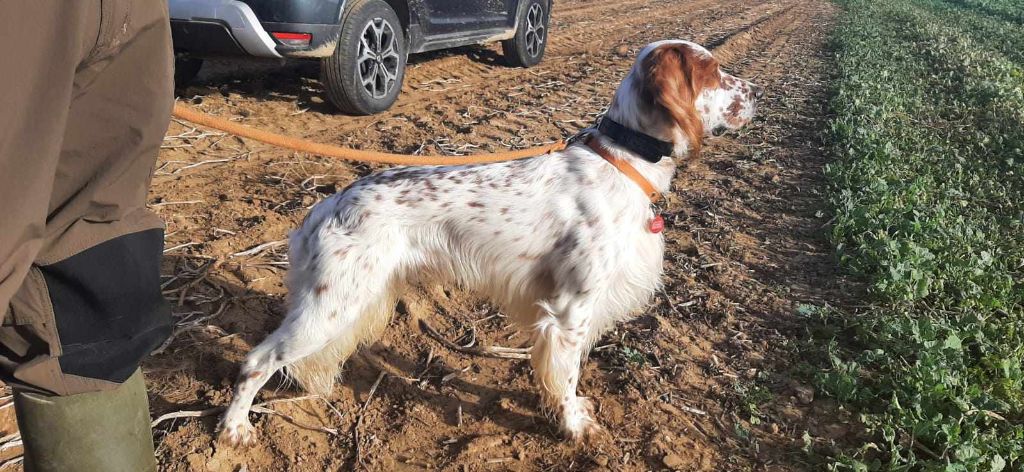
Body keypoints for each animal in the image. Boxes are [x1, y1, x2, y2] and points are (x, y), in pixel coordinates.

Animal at [220, 38, 765, 444]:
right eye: (714, 71)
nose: (757, 90)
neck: (621, 158)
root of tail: (324, 206)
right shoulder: (570, 311)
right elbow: (566, 375)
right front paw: (575, 427)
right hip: (330, 306)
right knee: (255, 361)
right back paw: (233, 430)